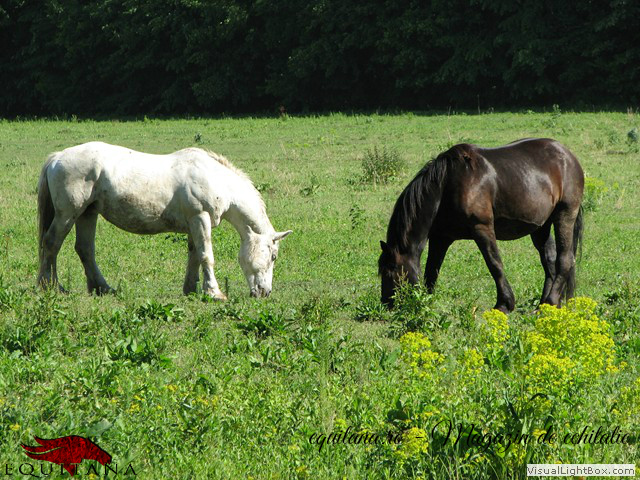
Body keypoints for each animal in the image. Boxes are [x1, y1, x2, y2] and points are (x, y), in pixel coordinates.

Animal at [37, 142, 292, 300]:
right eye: (273, 256)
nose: (264, 292)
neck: (216, 179)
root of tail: (57, 158)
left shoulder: (194, 224)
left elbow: (194, 256)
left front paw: (191, 289)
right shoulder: (200, 218)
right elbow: (206, 256)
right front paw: (214, 292)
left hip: (87, 213)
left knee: (84, 249)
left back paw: (102, 288)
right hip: (68, 214)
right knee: (51, 244)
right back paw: (51, 286)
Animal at [380, 138, 584, 316]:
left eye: (391, 269)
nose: (387, 303)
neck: (447, 186)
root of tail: (568, 156)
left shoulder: (482, 228)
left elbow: (494, 264)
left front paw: (504, 304)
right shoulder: (440, 238)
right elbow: (432, 269)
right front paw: (425, 302)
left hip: (565, 214)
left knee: (565, 259)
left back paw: (551, 301)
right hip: (541, 226)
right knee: (549, 260)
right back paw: (544, 306)